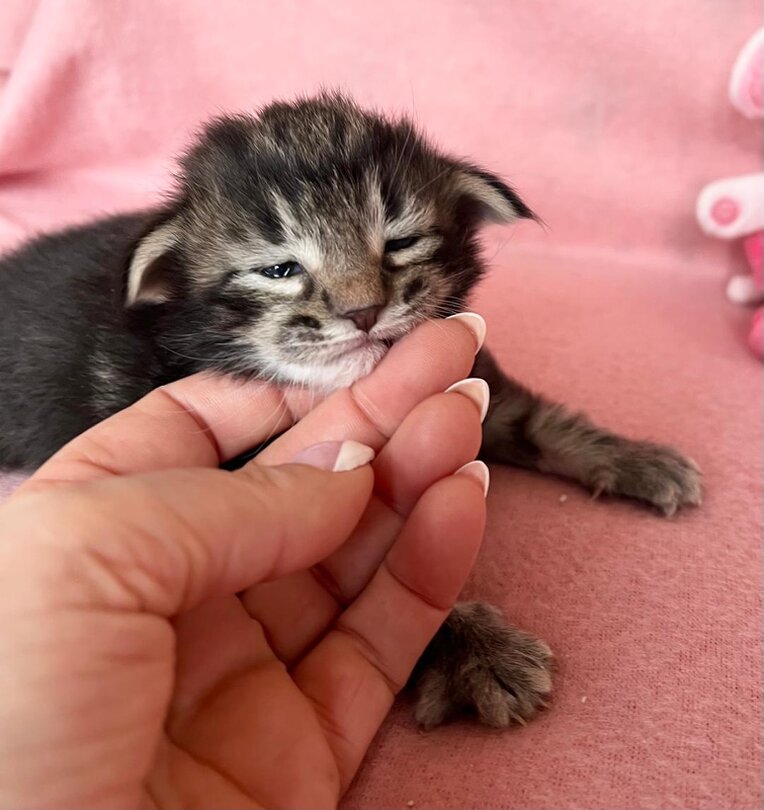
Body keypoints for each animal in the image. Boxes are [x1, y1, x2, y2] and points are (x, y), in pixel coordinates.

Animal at [0, 93, 701, 728]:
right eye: (278, 270)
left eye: (401, 242)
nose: (362, 311)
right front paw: (476, 653)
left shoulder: (470, 378)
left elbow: (539, 424)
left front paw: (639, 459)